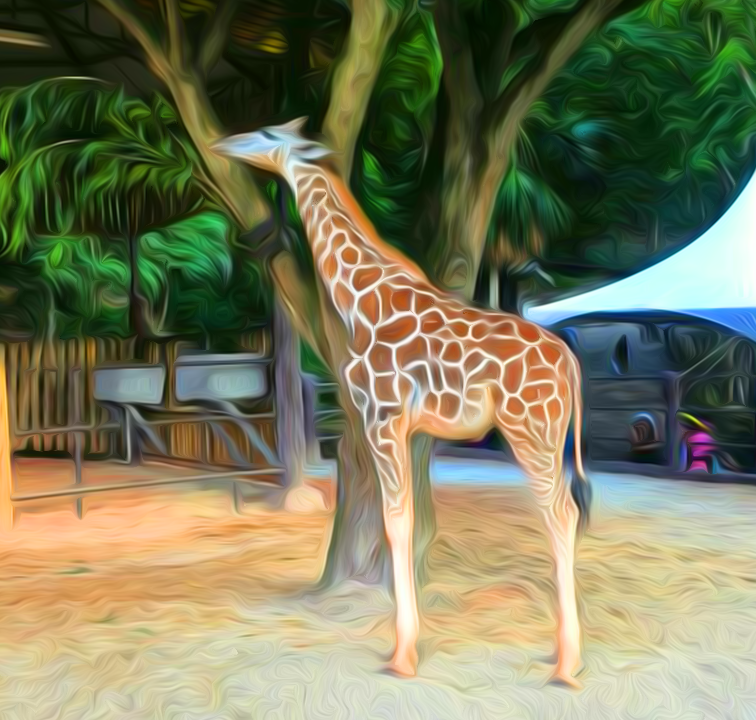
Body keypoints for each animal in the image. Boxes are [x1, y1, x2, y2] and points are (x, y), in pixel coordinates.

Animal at [213, 118, 592, 686]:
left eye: (264, 134)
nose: (222, 144)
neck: (359, 300)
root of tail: (570, 363)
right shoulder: (401, 426)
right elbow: (404, 520)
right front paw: (404, 646)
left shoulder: (382, 416)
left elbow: (397, 521)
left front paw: (403, 655)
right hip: (543, 433)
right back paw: (563, 655)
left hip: (531, 431)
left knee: (562, 513)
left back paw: (567, 664)